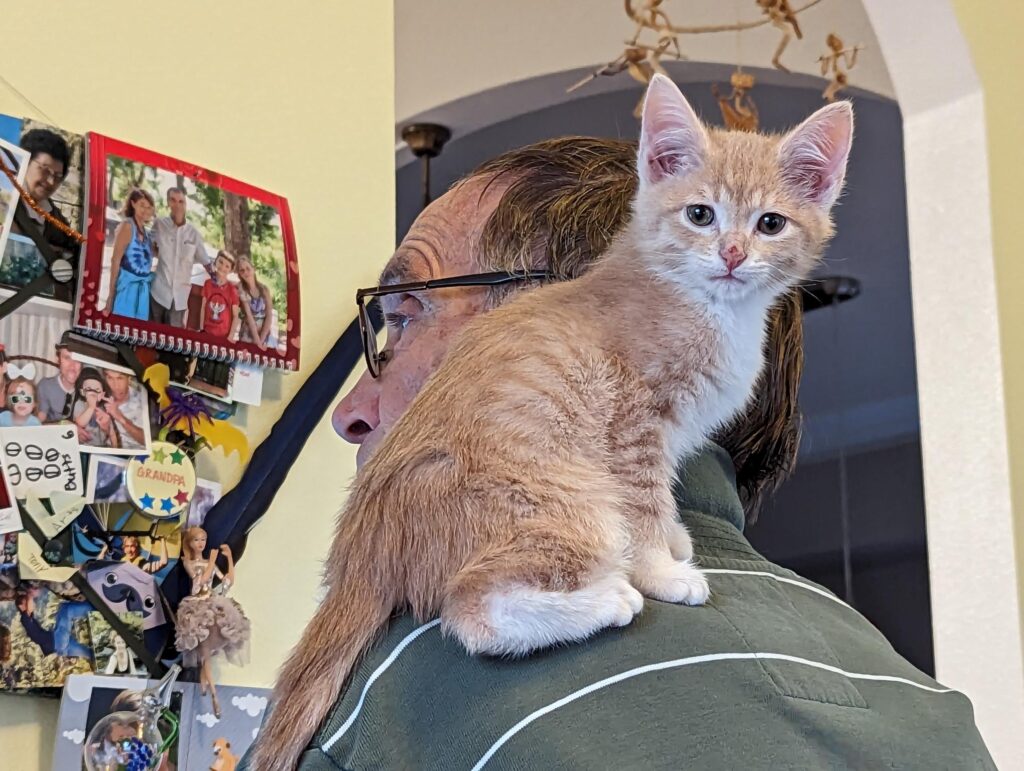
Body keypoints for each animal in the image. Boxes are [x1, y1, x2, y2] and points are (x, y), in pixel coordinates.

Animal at [251, 74, 853, 770]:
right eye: (700, 214)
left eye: (770, 223)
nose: (731, 254)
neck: (704, 305)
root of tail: (360, 545)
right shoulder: (633, 421)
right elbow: (643, 502)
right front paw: (663, 569)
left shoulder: (666, 433)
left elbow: (662, 493)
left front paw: (675, 537)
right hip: (566, 500)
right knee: (468, 610)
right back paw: (607, 599)